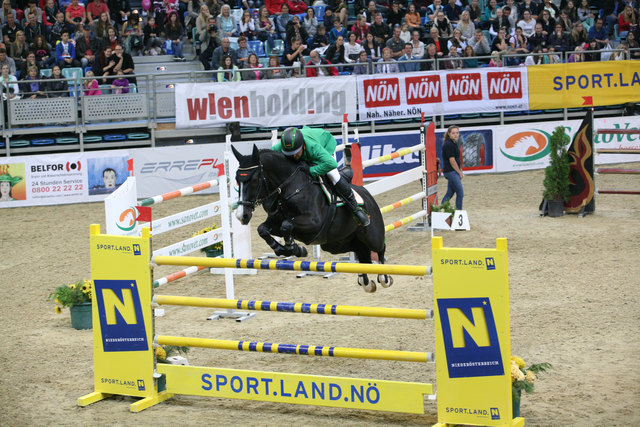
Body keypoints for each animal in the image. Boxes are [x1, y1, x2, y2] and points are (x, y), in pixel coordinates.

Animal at [232, 145, 392, 293]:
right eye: (236, 179)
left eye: (254, 180)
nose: (241, 216)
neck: (292, 187)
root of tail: (368, 195)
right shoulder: (276, 222)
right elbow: (263, 229)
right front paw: (283, 249)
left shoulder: (314, 223)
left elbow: (286, 225)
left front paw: (294, 248)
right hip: (338, 243)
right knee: (362, 253)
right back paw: (365, 281)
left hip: (371, 236)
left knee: (380, 248)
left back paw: (384, 277)